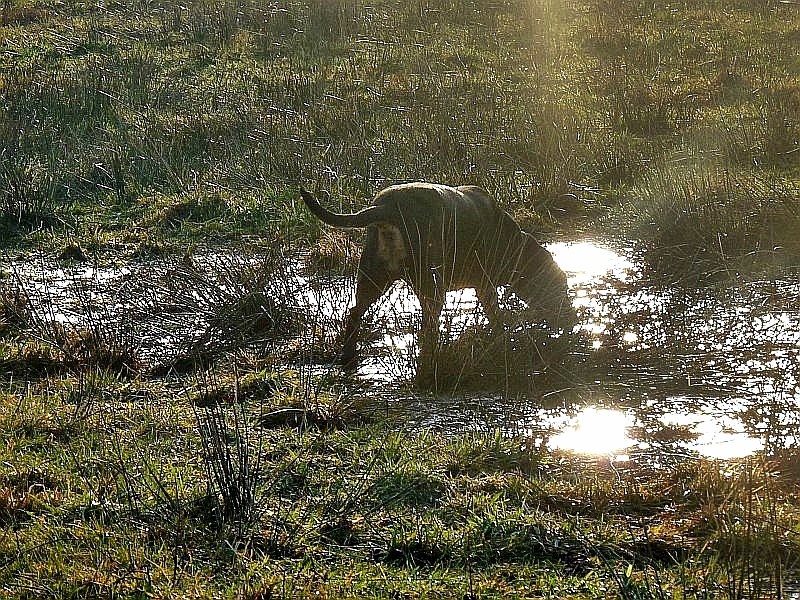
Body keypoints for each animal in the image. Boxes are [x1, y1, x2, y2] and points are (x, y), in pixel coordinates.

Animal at [298, 183, 568, 368]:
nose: (570, 318)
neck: (512, 243)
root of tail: (388, 207)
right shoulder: (485, 284)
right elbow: (495, 314)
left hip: (372, 276)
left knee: (355, 313)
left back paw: (348, 355)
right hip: (429, 282)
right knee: (428, 324)